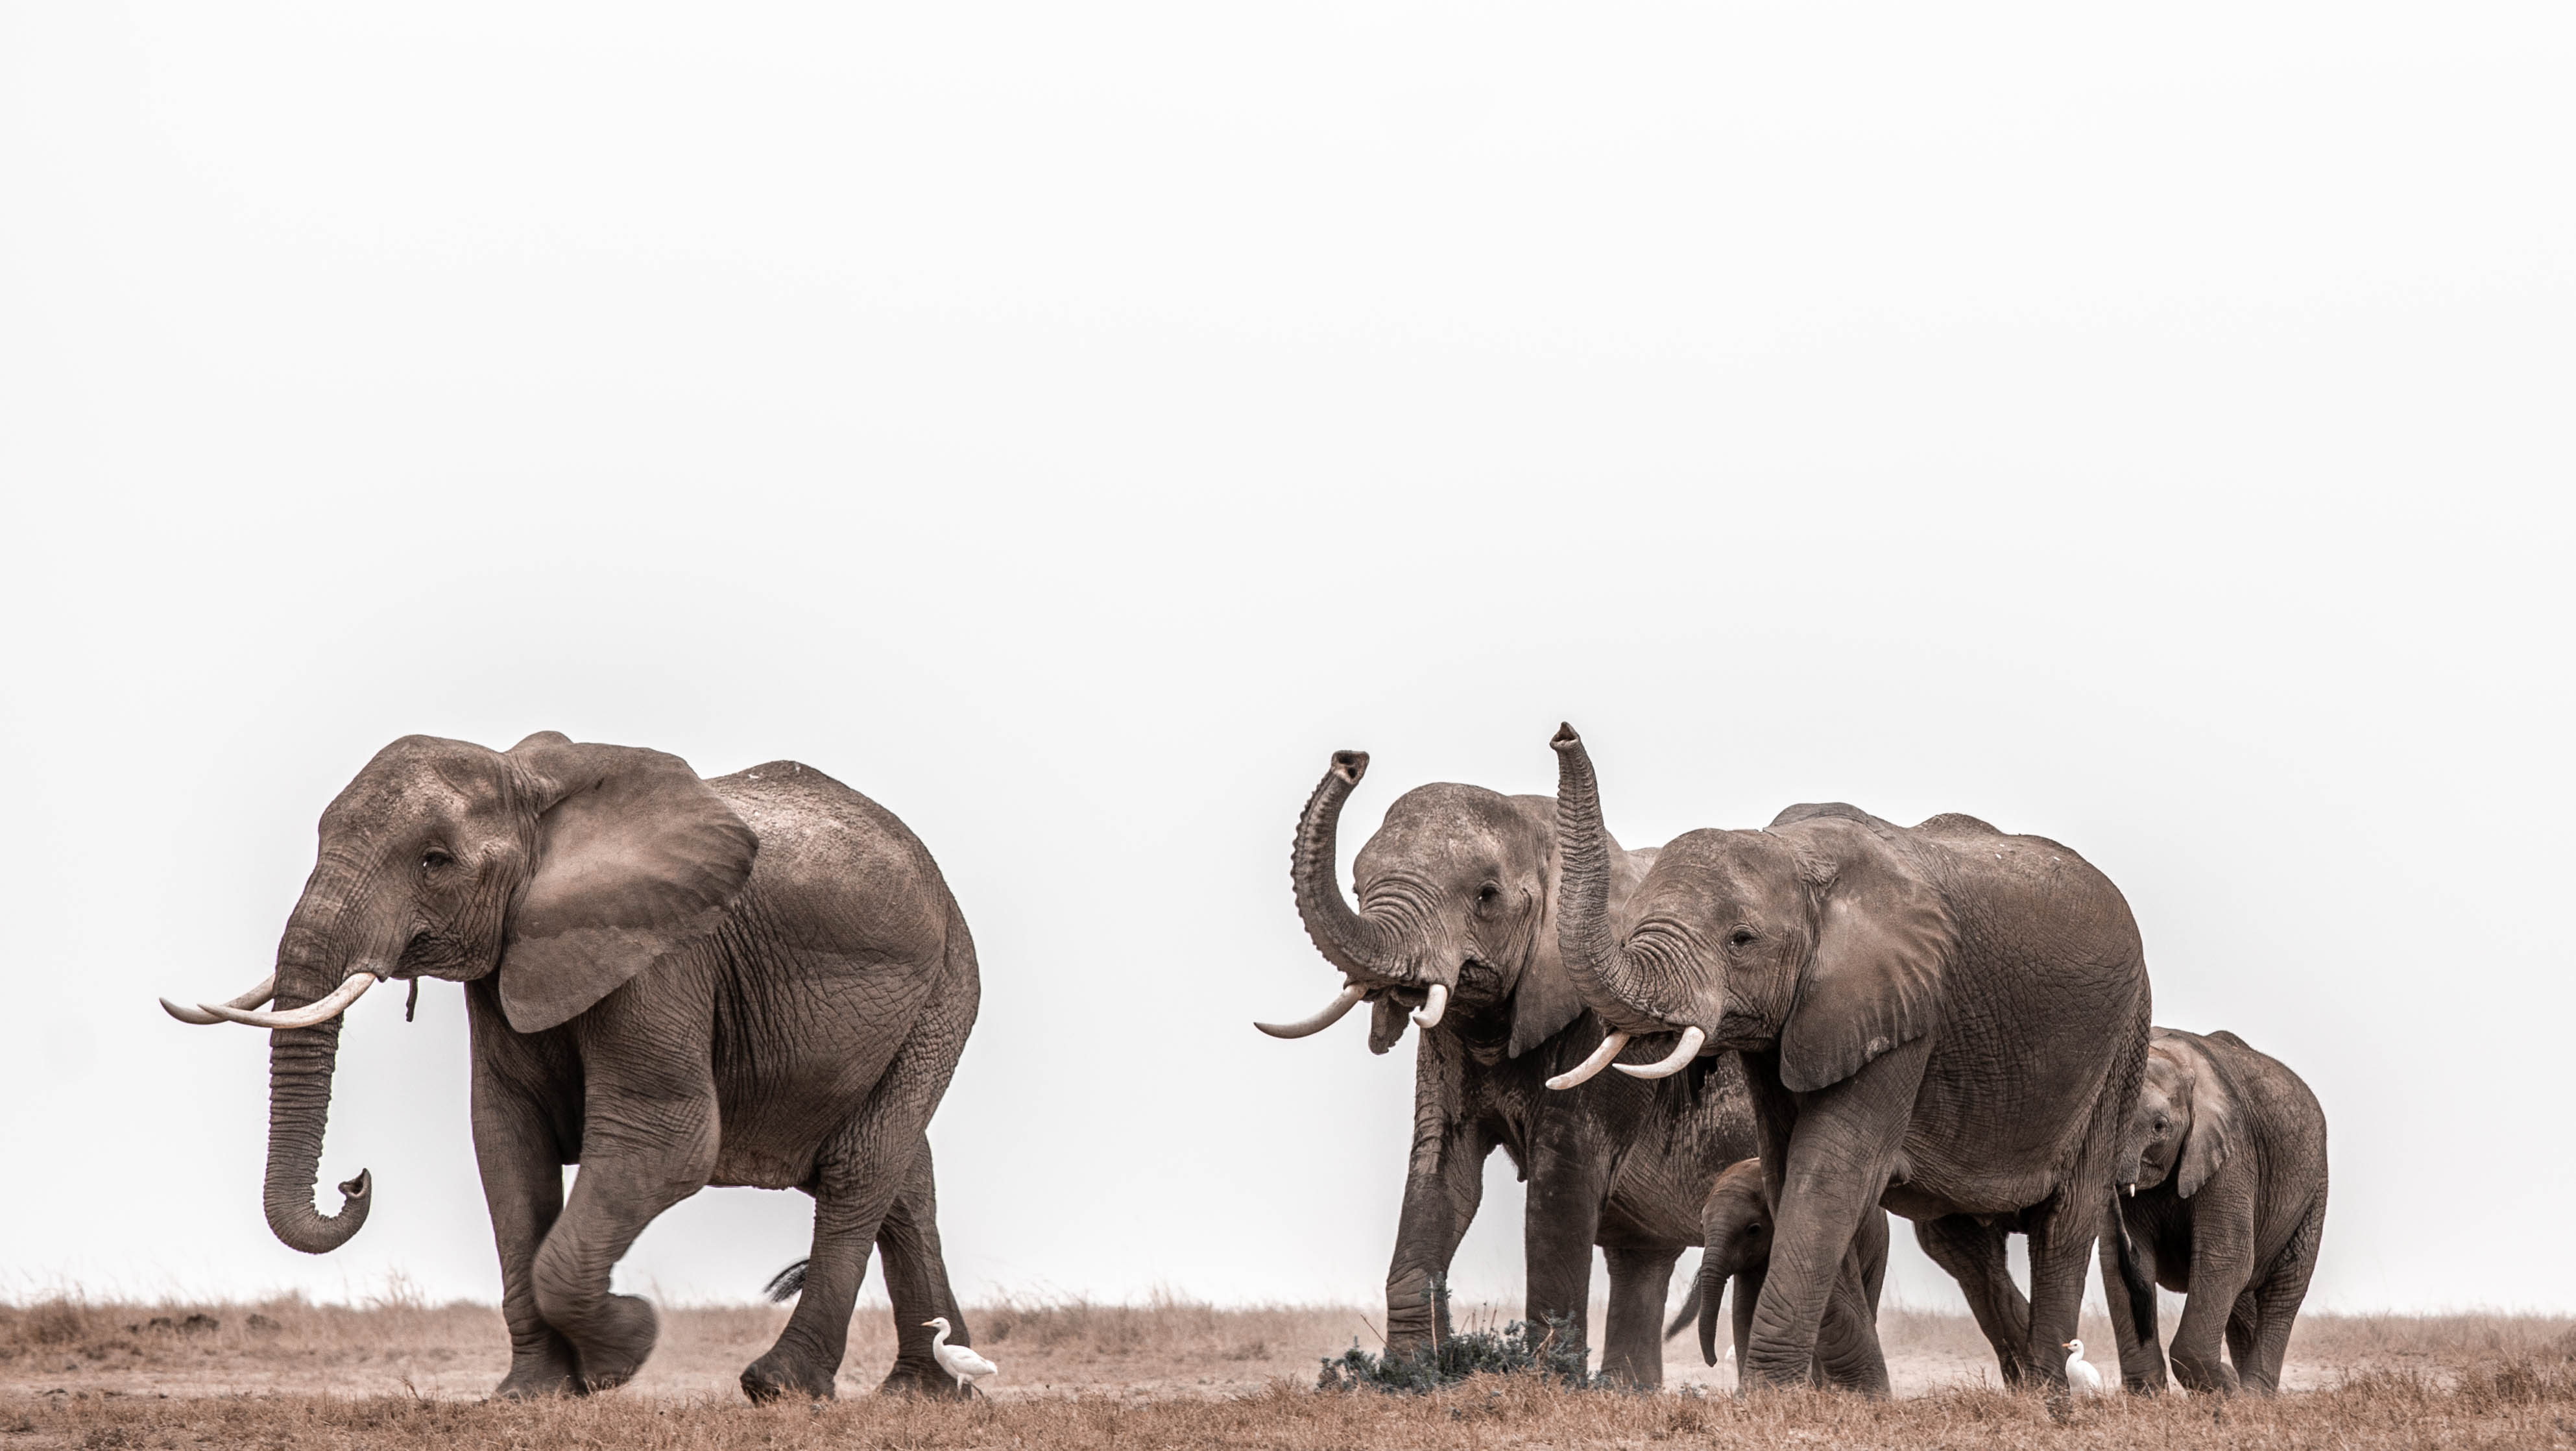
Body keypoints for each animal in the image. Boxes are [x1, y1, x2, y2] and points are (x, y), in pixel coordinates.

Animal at [158, 733, 982, 1402]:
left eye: (434, 861)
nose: (353, 1181)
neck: (529, 785)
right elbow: (507, 1144)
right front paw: (530, 1392)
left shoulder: (664, 952)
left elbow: (668, 1140)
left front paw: (628, 1346)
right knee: (904, 1181)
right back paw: (927, 1391)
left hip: (945, 991)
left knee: (858, 1171)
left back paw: (780, 1387)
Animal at [1257, 748, 1761, 1388]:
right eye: (1354, 885)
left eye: (1487, 895)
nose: (1351, 760)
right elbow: (1441, 1171)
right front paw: (1408, 1379)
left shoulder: (1608, 1032)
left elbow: (1561, 1183)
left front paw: (1550, 1385)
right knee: (1641, 1256)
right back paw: (1627, 1391)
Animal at [2098, 1027, 2328, 1395]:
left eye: (2159, 1127)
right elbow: (2121, 1263)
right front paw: (2147, 1396)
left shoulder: (2233, 1152)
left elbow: (2224, 1256)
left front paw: (2228, 1388)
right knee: (2244, 1295)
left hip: (2313, 1189)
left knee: (2285, 1286)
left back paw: (2254, 1394)